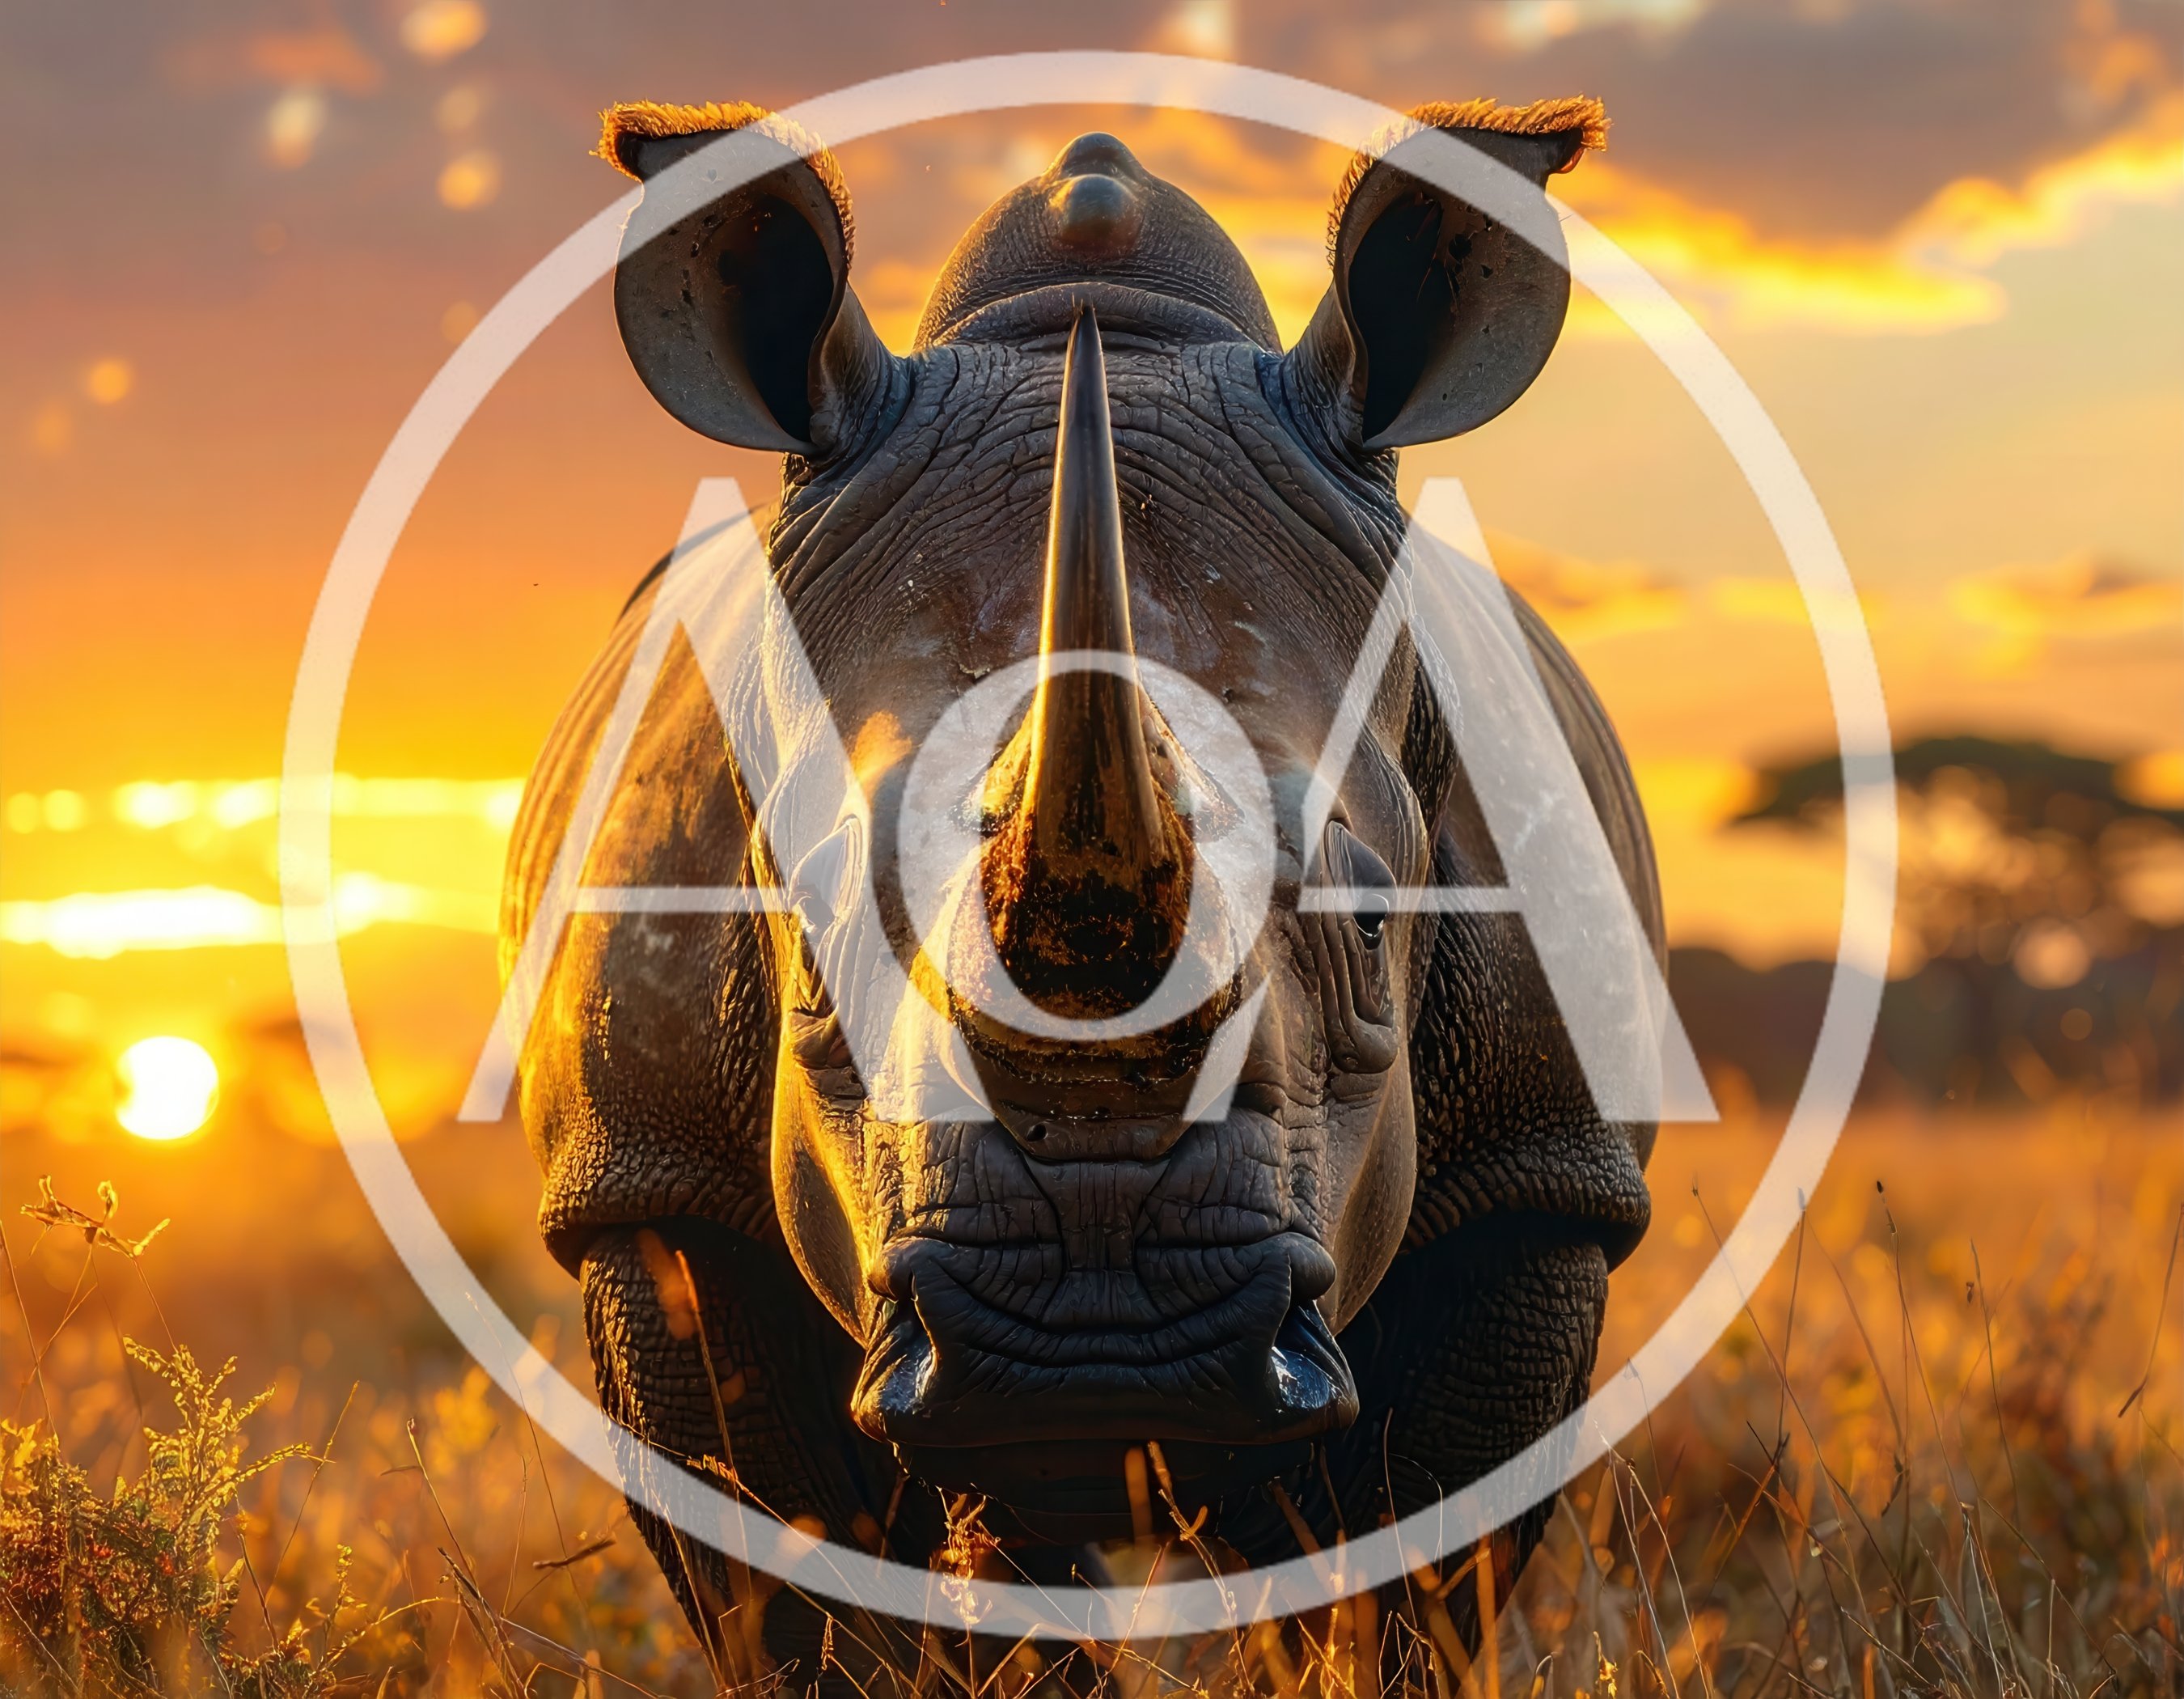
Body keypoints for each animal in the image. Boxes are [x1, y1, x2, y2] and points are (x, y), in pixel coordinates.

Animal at [504, 94, 1659, 1682]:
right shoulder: (646, 1180)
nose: (1098, 1344)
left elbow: (1412, 1588)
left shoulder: (1542, 1175)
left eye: (1376, 929)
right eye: (806, 936)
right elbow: (804, 1595)